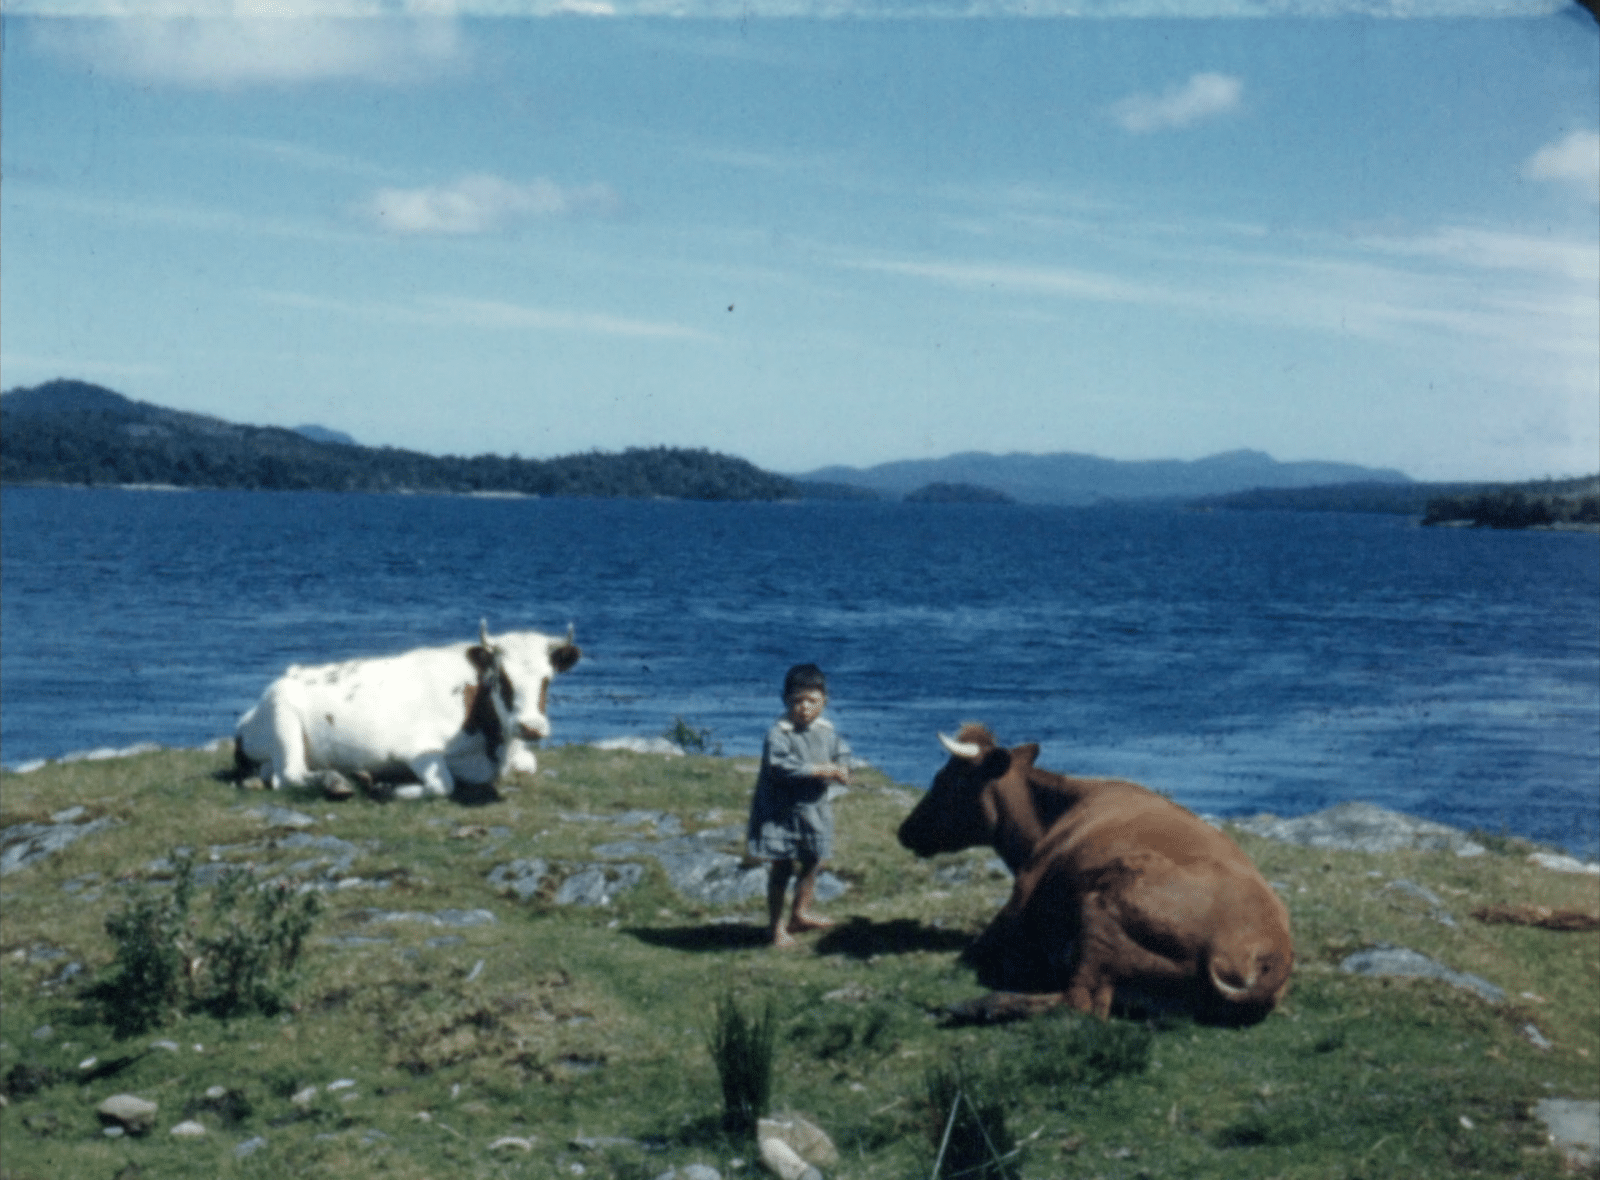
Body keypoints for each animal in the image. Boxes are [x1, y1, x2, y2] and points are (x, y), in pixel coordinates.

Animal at [233, 617, 585, 799]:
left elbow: (528, 765)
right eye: (501, 676)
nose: (531, 727)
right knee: (290, 775)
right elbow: (443, 785)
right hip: (283, 715)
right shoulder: (415, 750)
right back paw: (340, 782)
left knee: (274, 774)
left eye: (547, 678)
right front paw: (389, 787)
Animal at [896, 722, 1292, 1016]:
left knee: (1081, 1003)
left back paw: (979, 1005)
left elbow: (971, 952)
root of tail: (1269, 955)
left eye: (945, 780)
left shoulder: (1019, 899)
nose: (904, 830)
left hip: (1103, 911)